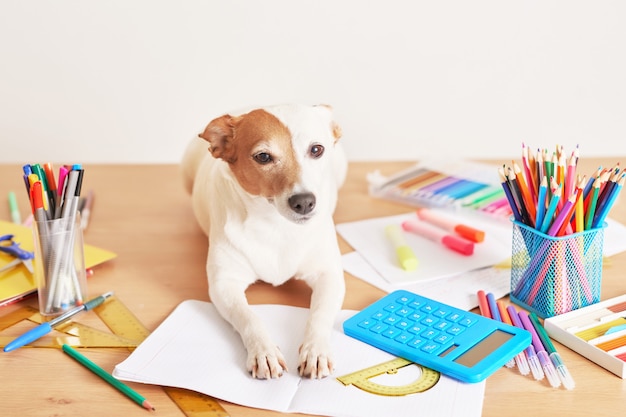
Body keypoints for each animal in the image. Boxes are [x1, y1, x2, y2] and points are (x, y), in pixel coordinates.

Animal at [182, 103, 346, 376]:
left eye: (316, 149)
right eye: (263, 157)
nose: (304, 202)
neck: (275, 225)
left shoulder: (328, 275)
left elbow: (319, 314)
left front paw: (316, 350)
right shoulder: (224, 285)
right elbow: (249, 317)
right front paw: (264, 351)